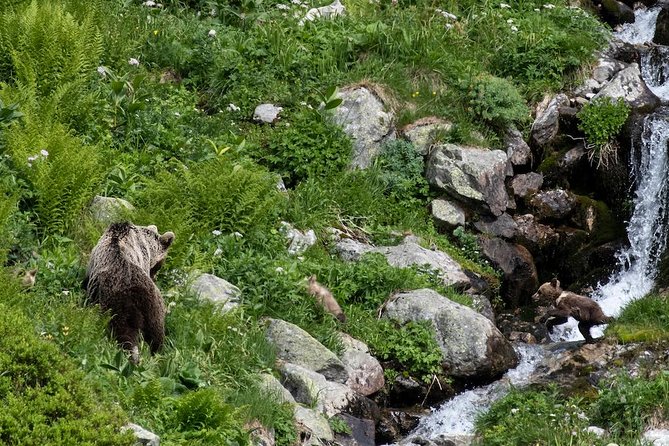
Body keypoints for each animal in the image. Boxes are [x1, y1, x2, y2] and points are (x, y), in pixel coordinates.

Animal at [83, 221, 175, 364]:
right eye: (161, 263)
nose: (154, 277)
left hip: (118, 306)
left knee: (123, 332)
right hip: (153, 309)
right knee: (156, 335)